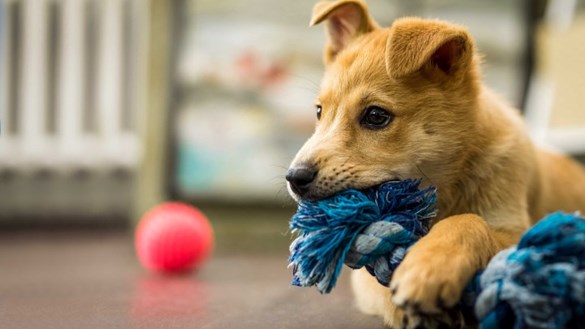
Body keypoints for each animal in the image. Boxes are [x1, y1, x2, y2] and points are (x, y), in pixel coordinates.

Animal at [286, 0, 584, 326]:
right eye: (319, 111)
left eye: (376, 116)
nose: (294, 178)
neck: (442, 189)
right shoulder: (362, 275)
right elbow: (377, 281)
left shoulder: (518, 230)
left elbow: (469, 220)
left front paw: (429, 267)